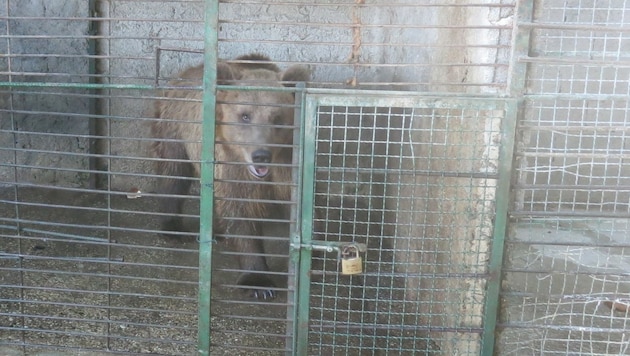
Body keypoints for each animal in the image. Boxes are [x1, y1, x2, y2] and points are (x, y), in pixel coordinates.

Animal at [153, 54, 312, 298]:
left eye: (277, 117)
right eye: (245, 115)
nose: (261, 155)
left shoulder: (288, 168)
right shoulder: (233, 169)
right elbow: (240, 211)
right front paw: (258, 281)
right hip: (175, 127)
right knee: (174, 173)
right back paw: (173, 227)